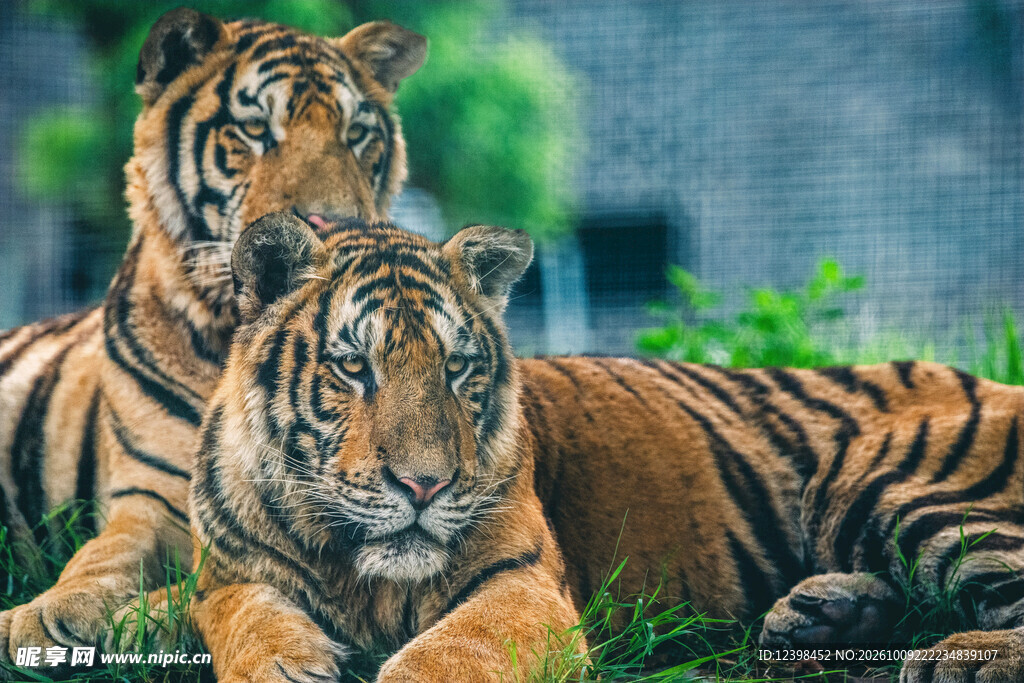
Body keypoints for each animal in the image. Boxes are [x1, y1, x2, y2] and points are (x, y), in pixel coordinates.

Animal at [0, 7, 425, 664]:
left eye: (358, 134)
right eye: (253, 130)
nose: (337, 224)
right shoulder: (151, 497)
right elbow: (101, 556)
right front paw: (46, 614)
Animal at [188, 212, 580, 682]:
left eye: (455, 365)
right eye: (354, 364)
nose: (424, 487)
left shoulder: (528, 578)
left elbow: (467, 644)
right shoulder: (219, 581)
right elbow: (247, 612)